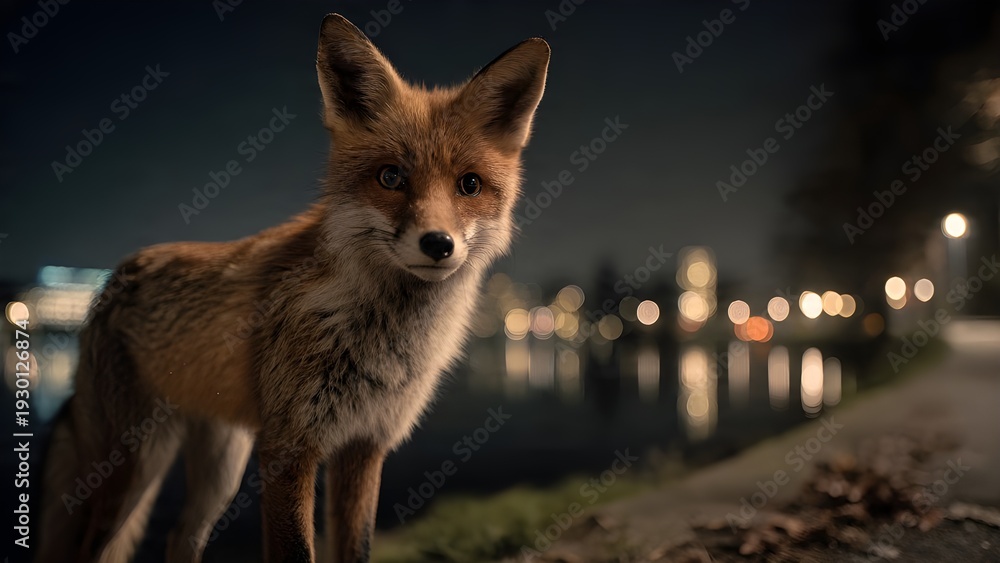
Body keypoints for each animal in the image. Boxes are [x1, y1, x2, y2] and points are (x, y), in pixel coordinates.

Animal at [36, 13, 549, 563]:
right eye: (391, 177)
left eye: (469, 185)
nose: (438, 244)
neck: (381, 337)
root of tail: (112, 281)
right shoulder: (288, 448)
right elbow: (296, 550)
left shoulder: (364, 446)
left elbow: (356, 548)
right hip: (133, 470)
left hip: (222, 465)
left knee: (180, 537)